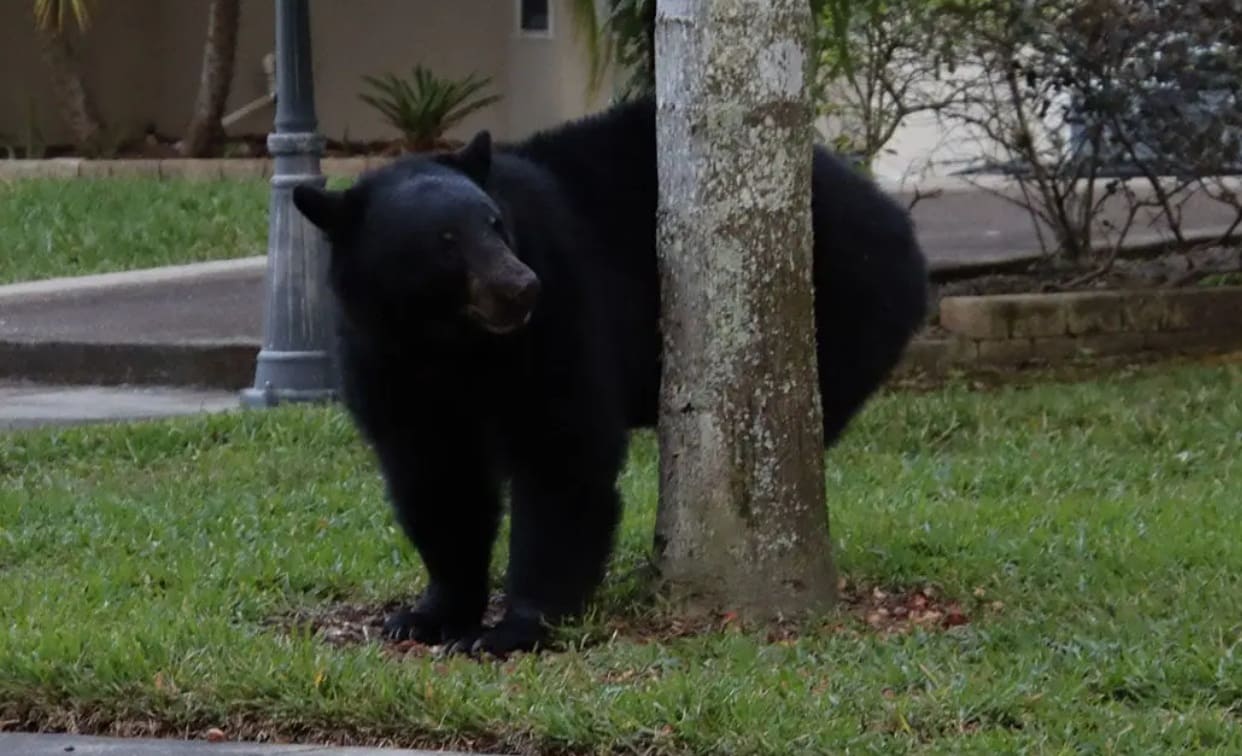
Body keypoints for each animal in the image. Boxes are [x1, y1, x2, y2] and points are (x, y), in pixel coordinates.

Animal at [291, 95, 929, 657]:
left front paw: (511, 628)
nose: (519, 287)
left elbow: (560, 447)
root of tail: (888, 210)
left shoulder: (560, 301)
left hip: (843, 288)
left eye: (494, 224)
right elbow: (436, 475)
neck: (451, 343)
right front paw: (430, 612)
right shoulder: (383, 355)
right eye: (445, 242)